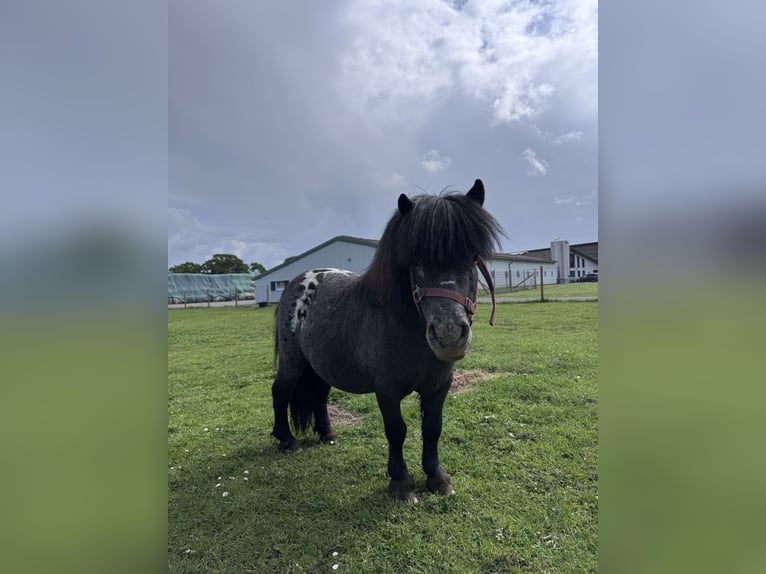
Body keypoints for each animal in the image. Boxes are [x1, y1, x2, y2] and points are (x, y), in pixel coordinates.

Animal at [271, 179, 504, 502]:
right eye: (415, 260)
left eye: (472, 257)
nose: (448, 335)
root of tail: (300, 279)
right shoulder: (386, 389)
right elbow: (397, 430)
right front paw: (401, 483)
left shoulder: (439, 385)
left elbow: (433, 428)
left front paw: (437, 478)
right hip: (293, 361)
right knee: (280, 392)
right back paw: (286, 440)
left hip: (321, 366)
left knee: (318, 396)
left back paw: (328, 434)